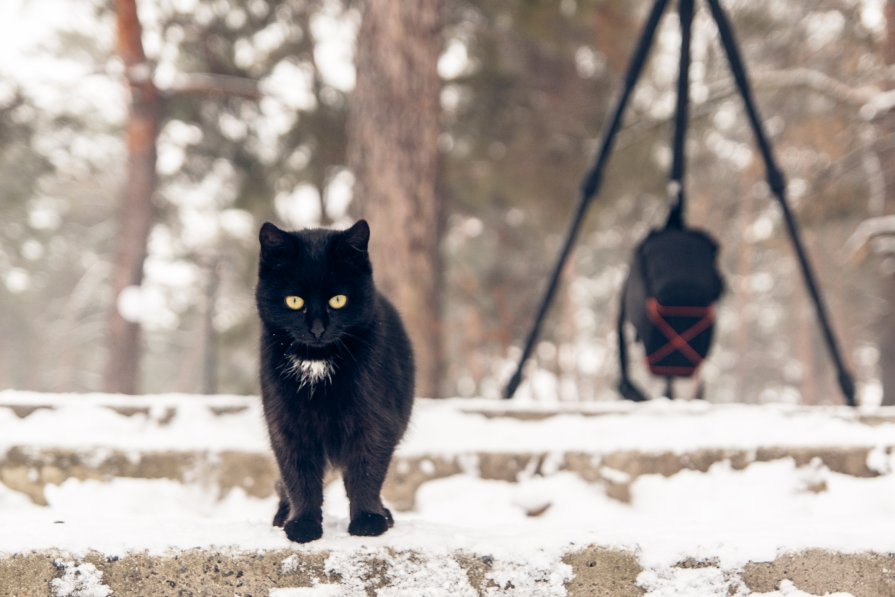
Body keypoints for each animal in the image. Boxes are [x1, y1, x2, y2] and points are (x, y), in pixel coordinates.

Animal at [256, 218, 416, 540]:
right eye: (294, 301)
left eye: (338, 299)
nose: (317, 328)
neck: (317, 365)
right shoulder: (286, 425)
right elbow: (298, 476)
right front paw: (302, 525)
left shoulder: (374, 421)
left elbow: (366, 472)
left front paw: (368, 521)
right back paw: (282, 514)